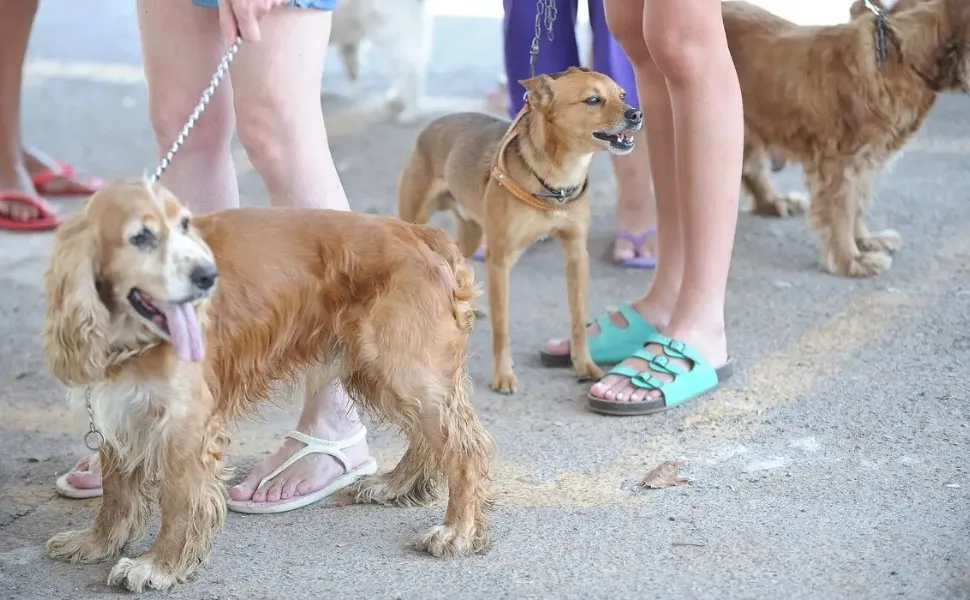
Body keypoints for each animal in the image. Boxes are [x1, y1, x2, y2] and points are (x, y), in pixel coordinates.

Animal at [42, 180, 496, 592]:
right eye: (141, 236)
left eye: (185, 225)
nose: (208, 276)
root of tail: (423, 234)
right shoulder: (120, 410)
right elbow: (115, 493)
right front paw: (96, 543)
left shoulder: (185, 423)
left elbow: (178, 500)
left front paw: (159, 565)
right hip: (382, 370)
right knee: (429, 437)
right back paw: (397, 485)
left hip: (400, 367)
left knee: (464, 447)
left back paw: (457, 531)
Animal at [398, 67, 640, 394]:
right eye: (592, 100)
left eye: (623, 95)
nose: (636, 113)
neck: (558, 179)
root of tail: (431, 126)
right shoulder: (500, 262)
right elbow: (502, 328)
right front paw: (503, 376)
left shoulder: (577, 255)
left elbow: (578, 319)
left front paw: (584, 364)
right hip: (415, 221)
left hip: (471, 235)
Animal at [728, 0, 968, 278]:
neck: (897, 56)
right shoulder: (838, 163)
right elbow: (841, 212)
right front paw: (852, 260)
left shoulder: (863, 161)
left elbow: (857, 206)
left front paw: (865, 241)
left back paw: (774, 202)